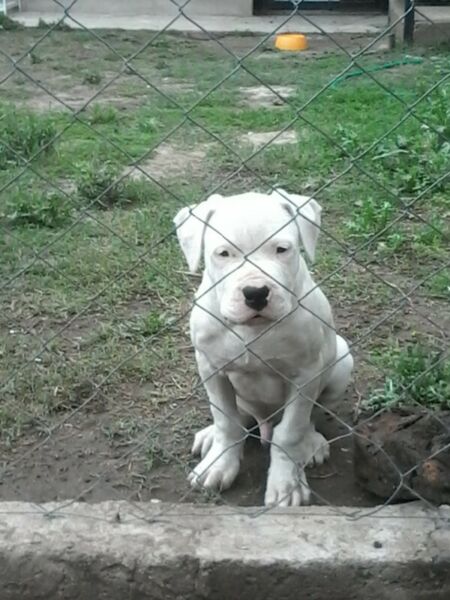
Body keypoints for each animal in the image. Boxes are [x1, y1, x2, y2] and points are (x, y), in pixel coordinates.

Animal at [174, 189, 354, 506]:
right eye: (223, 254)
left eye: (282, 249)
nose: (256, 293)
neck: (253, 329)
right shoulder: (211, 368)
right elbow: (226, 421)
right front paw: (219, 464)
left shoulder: (305, 375)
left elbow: (290, 432)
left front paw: (286, 485)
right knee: (240, 415)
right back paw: (210, 436)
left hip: (341, 361)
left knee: (309, 418)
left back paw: (311, 442)